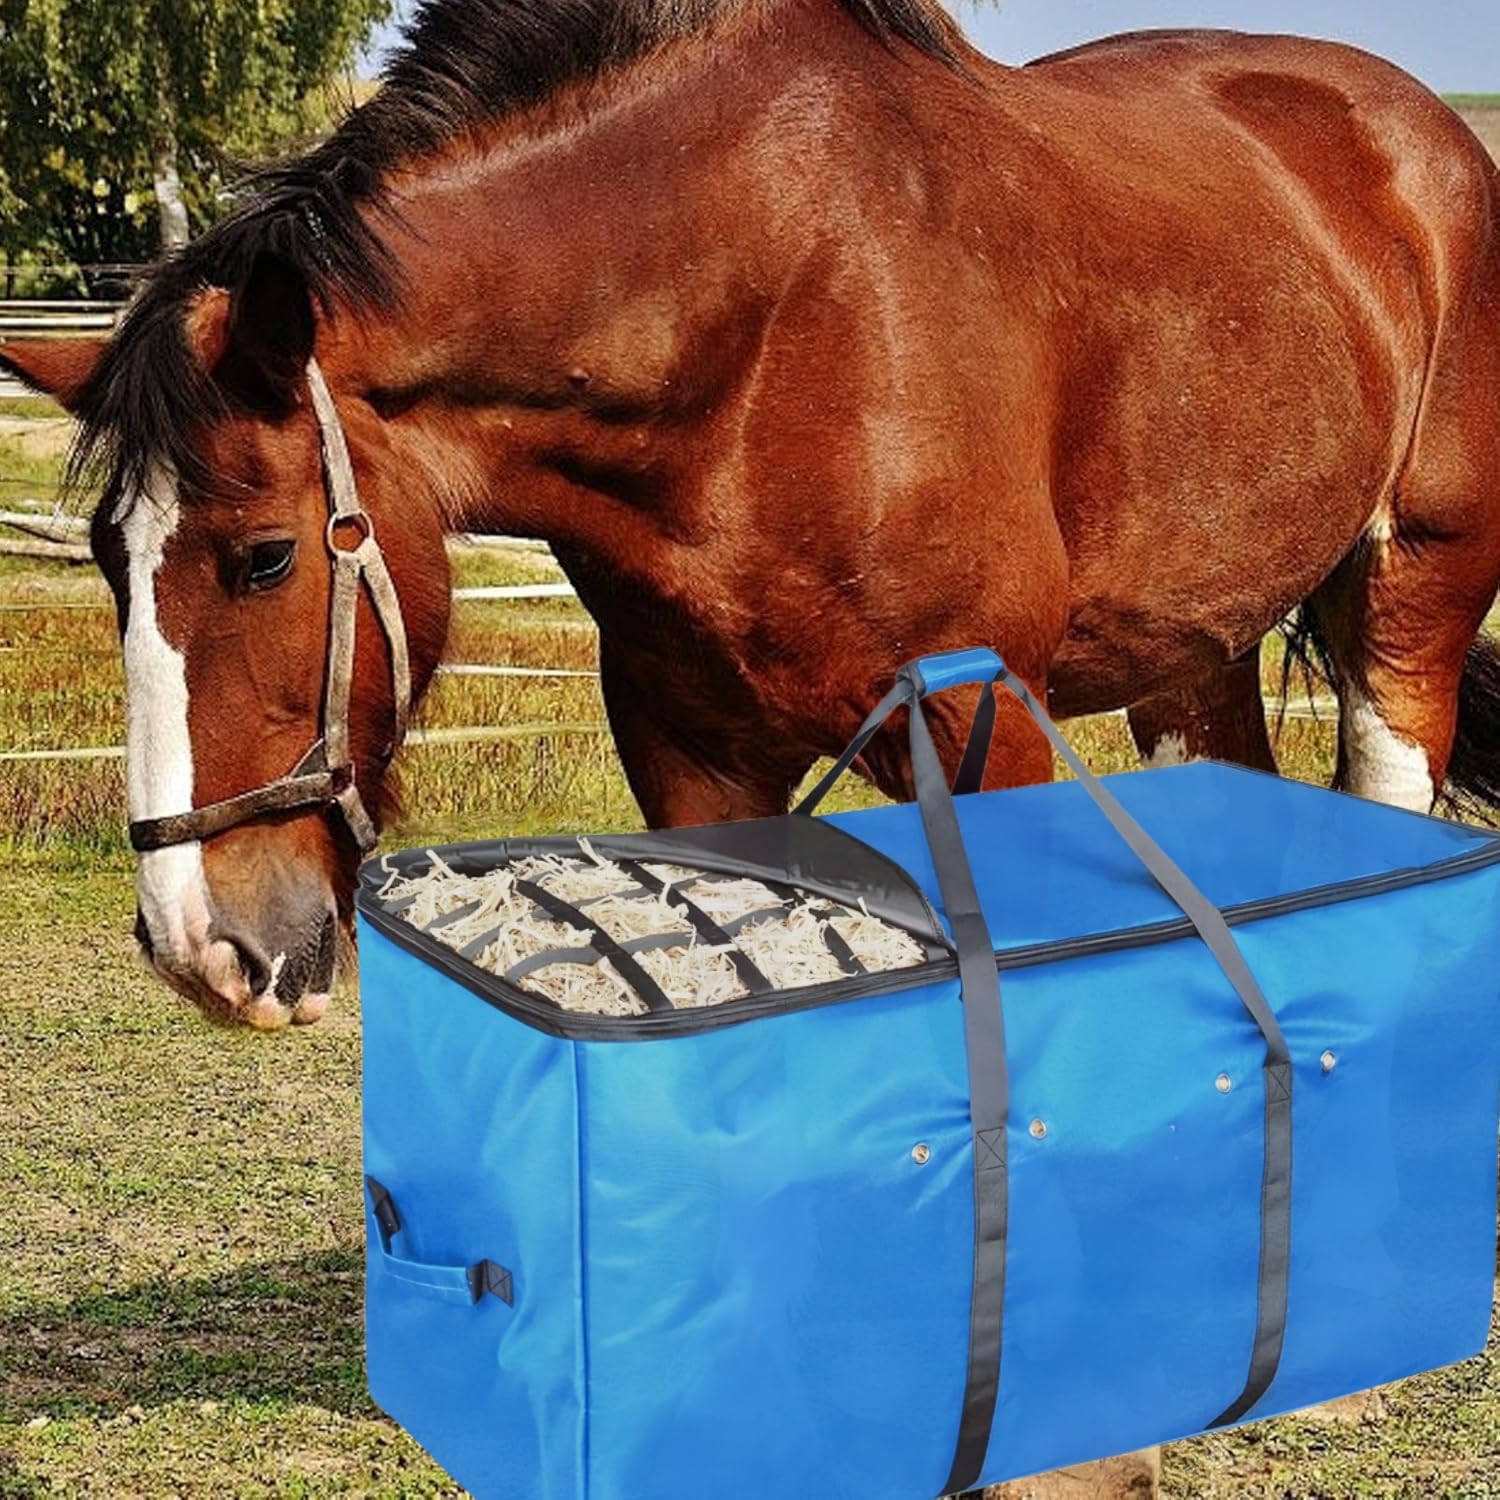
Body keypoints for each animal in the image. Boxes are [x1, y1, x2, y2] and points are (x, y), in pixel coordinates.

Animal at [4, 0, 1498, 1045]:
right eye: (111, 567)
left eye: (262, 557)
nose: (199, 946)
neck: (769, 317)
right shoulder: (693, 754)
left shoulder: (984, 728)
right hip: (1194, 653)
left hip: (1414, 593)